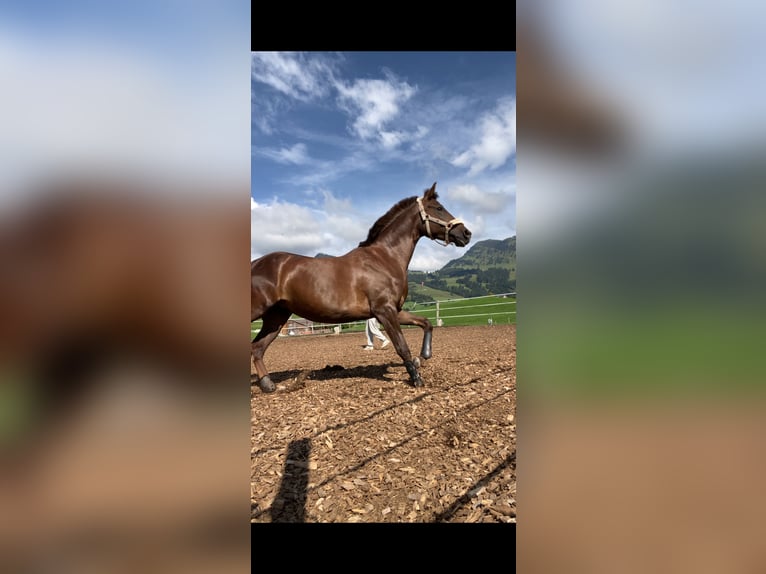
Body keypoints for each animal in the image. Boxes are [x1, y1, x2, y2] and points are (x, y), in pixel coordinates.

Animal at [252, 182, 472, 394]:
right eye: (439, 208)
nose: (466, 234)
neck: (384, 258)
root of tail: (256, 263)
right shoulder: (385, 311)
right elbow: (402, 346)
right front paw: (416, 379)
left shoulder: (395, 310)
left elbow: (426, 323)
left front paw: (422, 357)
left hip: (276, 318)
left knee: (257, 348)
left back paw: (268, 385)